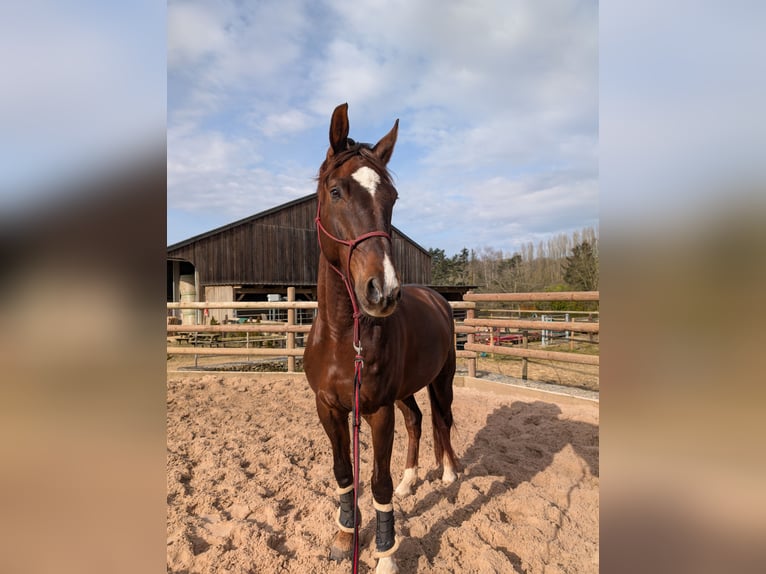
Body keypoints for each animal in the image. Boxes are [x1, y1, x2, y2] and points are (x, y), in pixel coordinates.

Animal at [304, 104, 462, 574]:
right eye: (336, 191)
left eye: (391, 198)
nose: (384, 291)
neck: (343, 339)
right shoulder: (329, 407)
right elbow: (344, 474)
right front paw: (343, 536)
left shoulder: (377, 412)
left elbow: (378, 483)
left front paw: (386, 556)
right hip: (406, 392)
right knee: (417, 421)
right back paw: (413, 481)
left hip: (441, 381)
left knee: (442, 420)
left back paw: (449, 475)